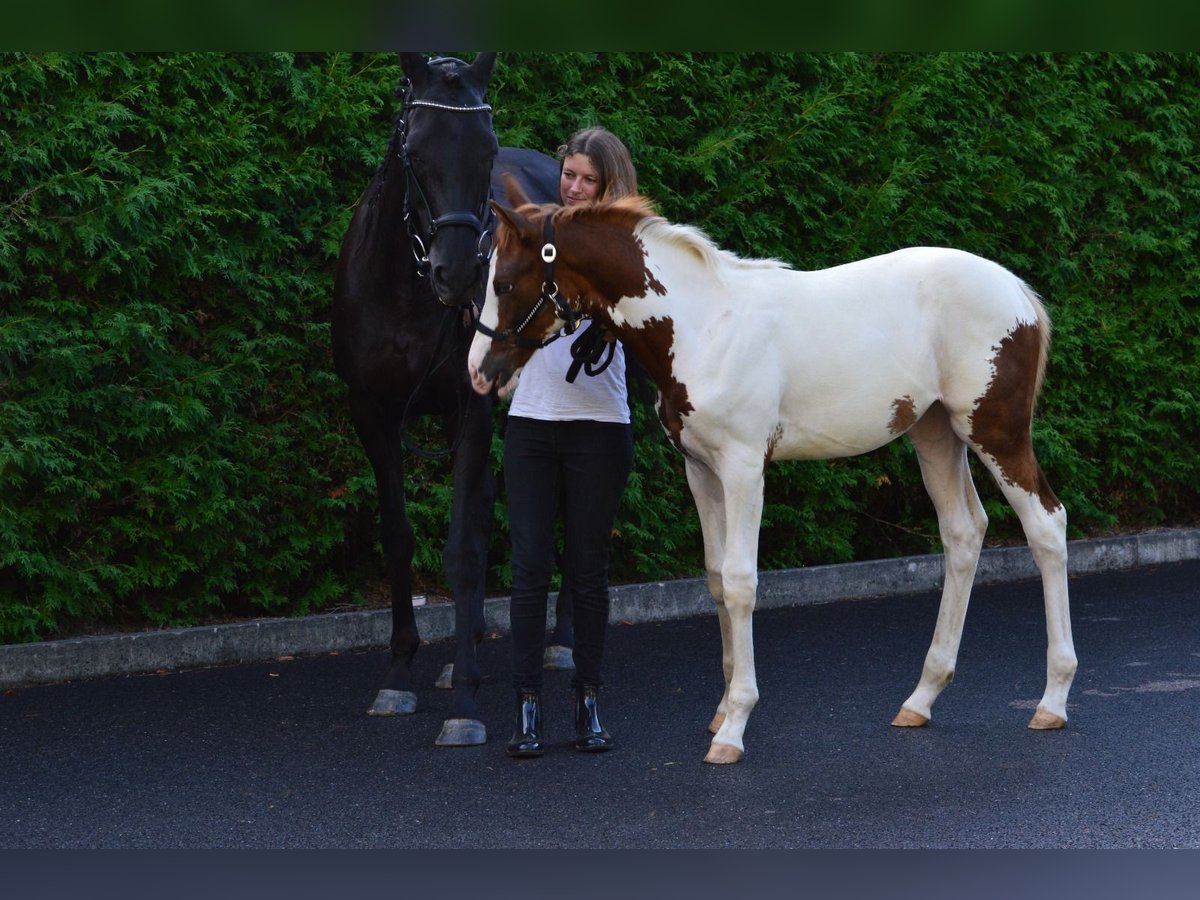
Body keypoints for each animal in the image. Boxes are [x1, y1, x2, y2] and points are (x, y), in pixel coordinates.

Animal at [331, 51, 564, 748]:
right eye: (415, 149)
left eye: (486, 148)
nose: (458, 273)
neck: (408, 296)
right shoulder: (374, 414)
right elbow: (399, 535)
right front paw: (401, 671)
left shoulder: (472, 407)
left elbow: (460, 548)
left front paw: (464, 699)